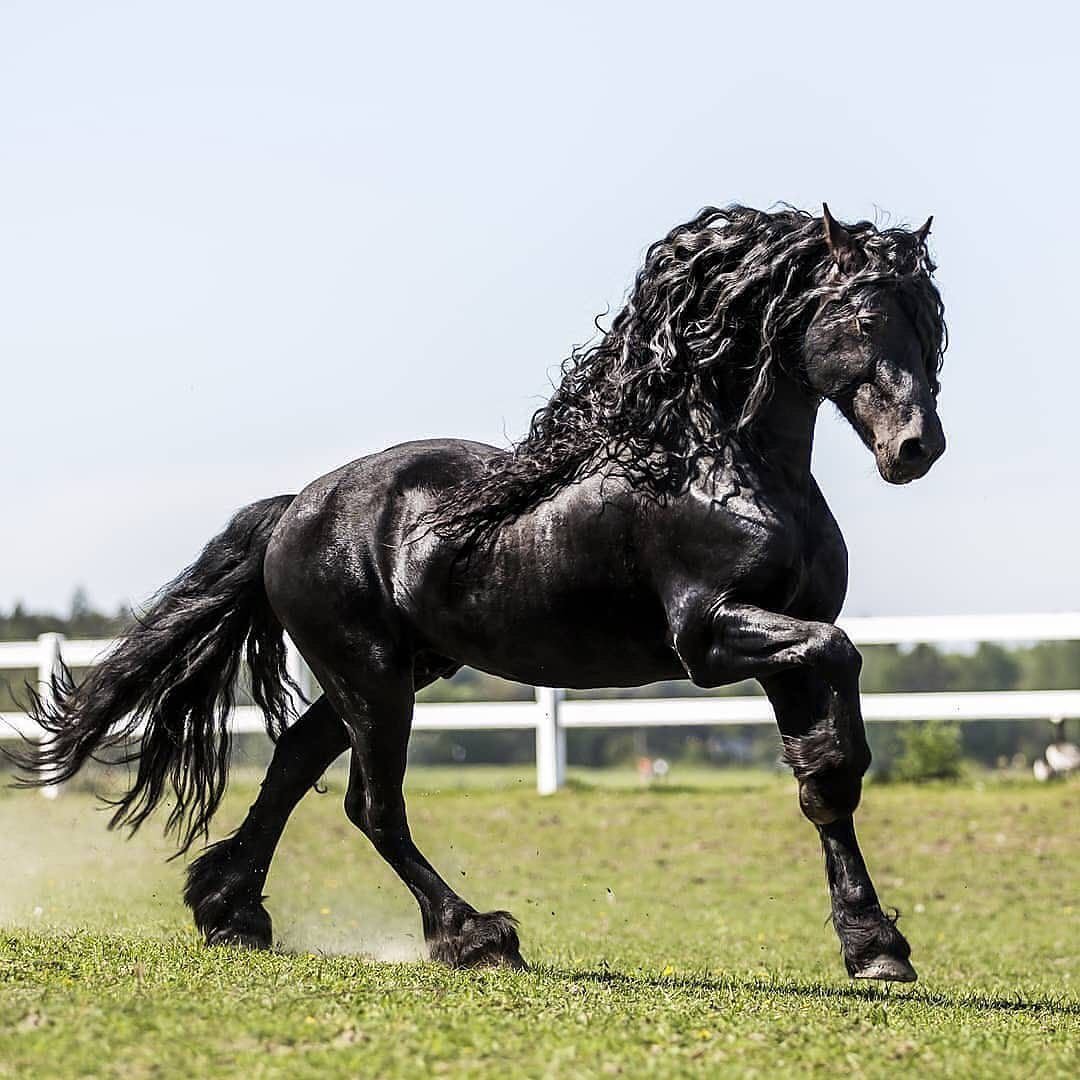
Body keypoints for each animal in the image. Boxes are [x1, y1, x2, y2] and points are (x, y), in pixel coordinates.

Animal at [21, 203, 946, 981]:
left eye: (932, 326)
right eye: (866, 318)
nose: (916, 447)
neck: (720, 467)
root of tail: (297, 508)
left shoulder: (785, 643)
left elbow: (824, 782)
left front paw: (875, 947)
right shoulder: (715, 638)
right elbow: (843, 668)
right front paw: (875, 939)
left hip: (395, 670)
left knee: (293, 765)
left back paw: (231, 911)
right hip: (372, 677)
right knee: (371, 804)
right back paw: (472, 935)